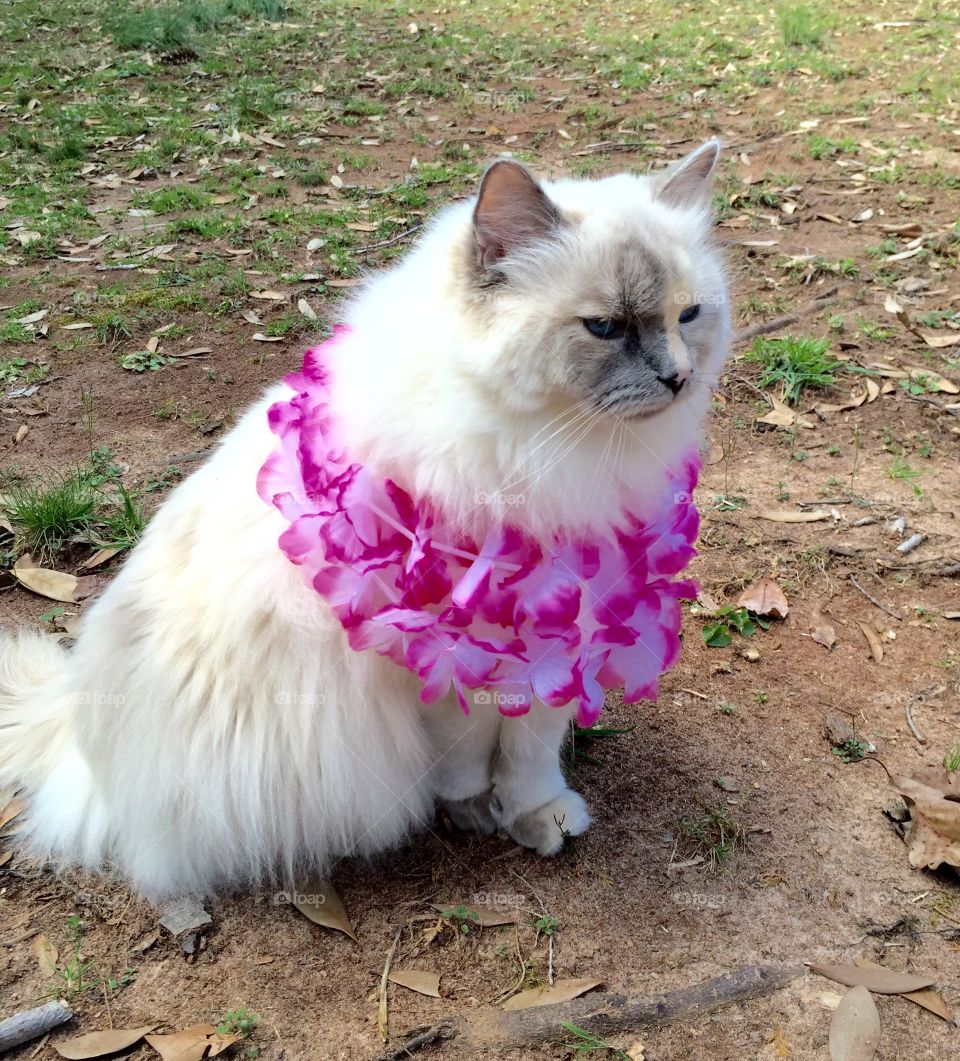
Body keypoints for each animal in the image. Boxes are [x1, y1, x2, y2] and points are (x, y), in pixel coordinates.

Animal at [0, 141, 725, 899]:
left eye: (689, 315)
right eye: (605, 327)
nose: (677, 377)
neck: (551, 451)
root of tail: (74, 717)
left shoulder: (564, 632)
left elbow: (531, 753)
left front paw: (539, 815)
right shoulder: (444, 652)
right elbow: (469, 755)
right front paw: (477, 812)